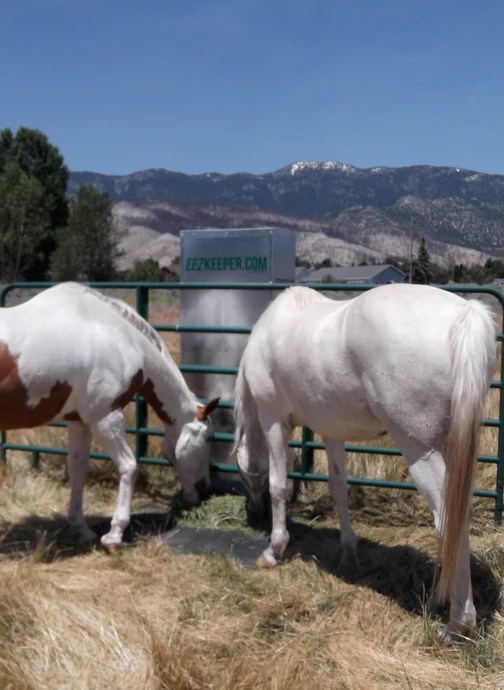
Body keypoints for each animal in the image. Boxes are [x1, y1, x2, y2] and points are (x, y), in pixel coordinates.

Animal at [0, 282, 220, 551]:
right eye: (209, 439)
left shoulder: (79, 421)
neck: (120, 339)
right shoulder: (105, 418)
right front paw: (115, 534)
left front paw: (81, 529)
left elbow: (77, 471)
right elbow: (129, 466)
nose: (204, 489)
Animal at [234, 283, 497, 643]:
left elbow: (277, 486)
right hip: (454, 450)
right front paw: (348, 551)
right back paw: (439, 600)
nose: (252, 512)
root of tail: (464, 315)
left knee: (448, 521)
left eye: (243, 476)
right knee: (459, 517)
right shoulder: (331, 431)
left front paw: (274, 550)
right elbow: (338, 488)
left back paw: (458, 624)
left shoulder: (273, 421)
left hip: (422, 453)